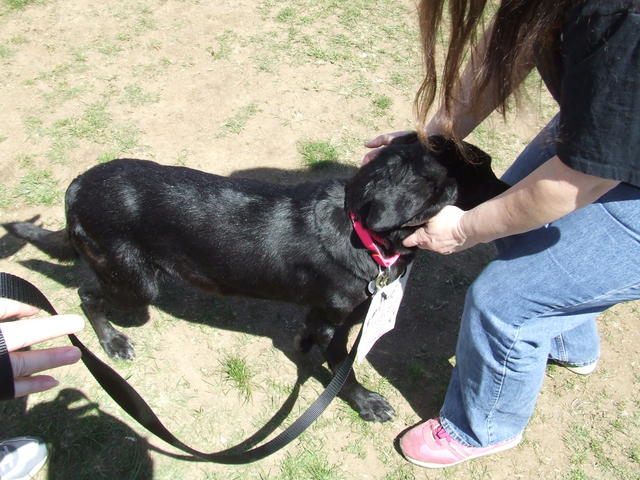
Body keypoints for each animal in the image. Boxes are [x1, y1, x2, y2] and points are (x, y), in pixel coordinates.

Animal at [3, 135, 507, 422]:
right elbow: (338, 368)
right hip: (134, 281)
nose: (509, 192)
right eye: (480, 171)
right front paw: (364, 402)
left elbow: (318, 343)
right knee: (86, 294)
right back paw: (111, 343)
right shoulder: (333, 323)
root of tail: (75, 186)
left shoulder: (329, 315)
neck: (360, 229)